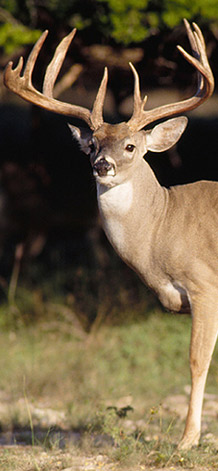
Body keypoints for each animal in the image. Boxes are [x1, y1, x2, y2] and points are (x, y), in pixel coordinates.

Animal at [3, 19, 216, 450]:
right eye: (91, 145)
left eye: (131, 146)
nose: (102, 165)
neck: (164, 226)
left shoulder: (205, 284)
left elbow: (196, 360)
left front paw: (187, 441)